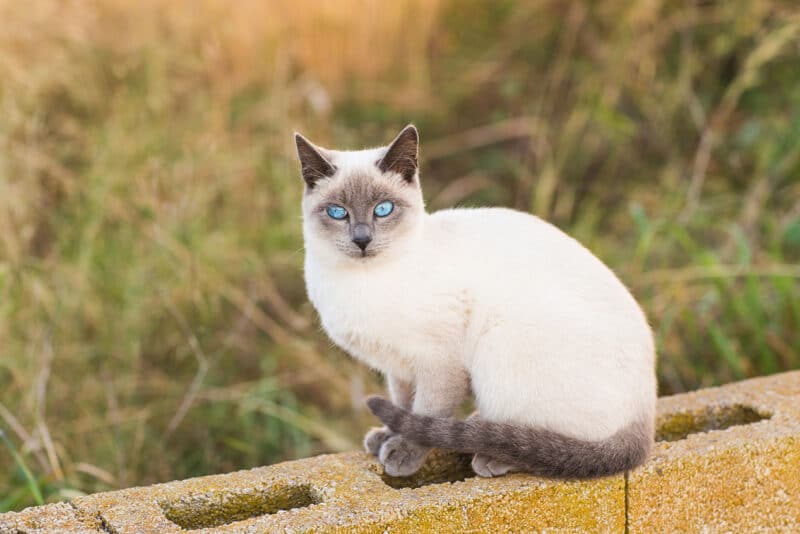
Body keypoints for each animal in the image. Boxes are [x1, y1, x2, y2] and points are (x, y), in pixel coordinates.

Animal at [294, 126, 656, 482]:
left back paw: (489, 452)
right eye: (337, 212)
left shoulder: (438, 362)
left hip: (500, 349)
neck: (360, 281)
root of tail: (646, 414)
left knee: (547, 441)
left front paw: (402, 453)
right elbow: (404, 404)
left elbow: (426, 411)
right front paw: (385, 437)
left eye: (383, 209)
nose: (362, 240)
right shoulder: (397, 365)